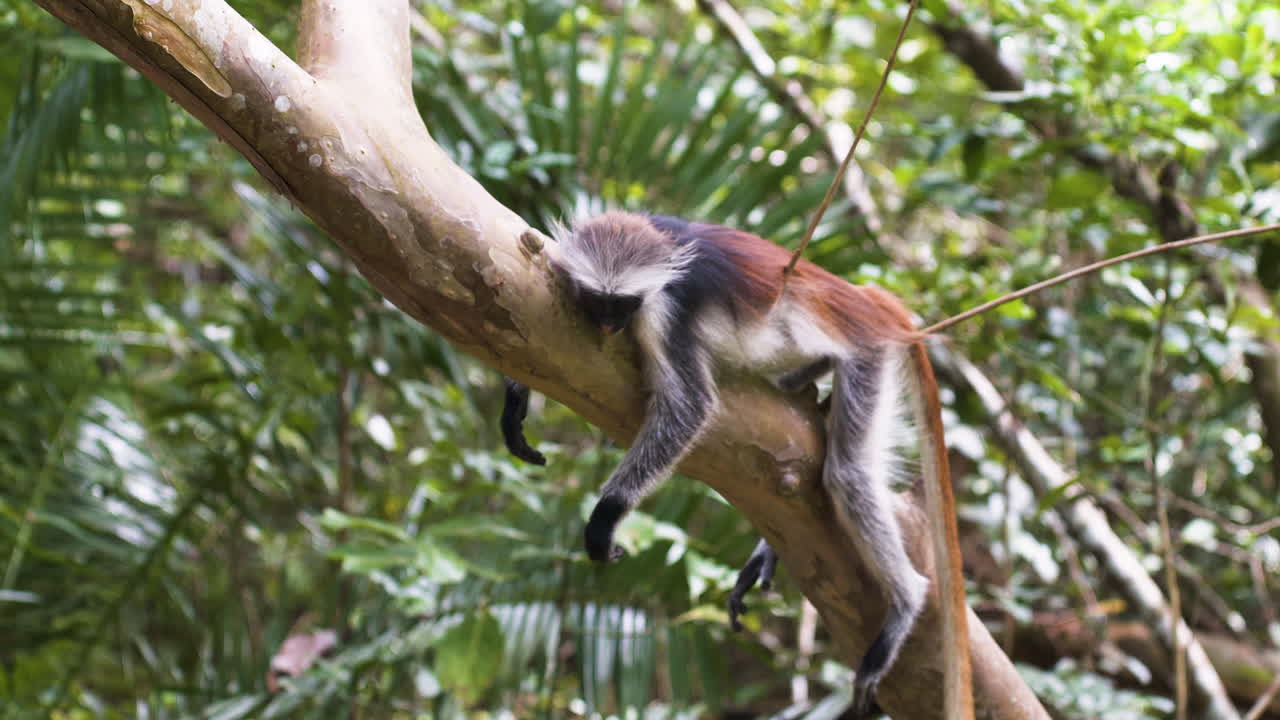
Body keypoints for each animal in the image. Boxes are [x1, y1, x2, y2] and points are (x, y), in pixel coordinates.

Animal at [501, 211, 972, 718]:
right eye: (598, 300)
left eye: (623, 303)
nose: (609, 325)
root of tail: (864, 300)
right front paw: (516, 395)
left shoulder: (667, 311)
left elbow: (690, 408)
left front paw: (606, 515)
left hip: (866, 353)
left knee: (848, 475)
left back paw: (907, 601)